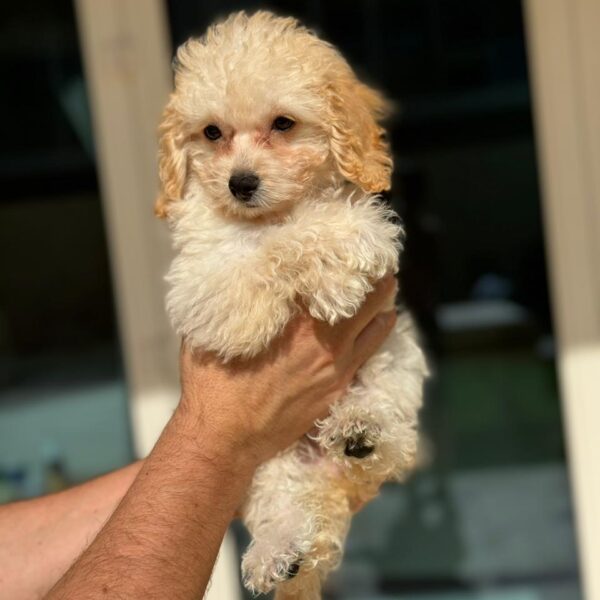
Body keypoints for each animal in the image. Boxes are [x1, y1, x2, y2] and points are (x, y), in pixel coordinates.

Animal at [155, 10, 426, 600]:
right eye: (212, 133)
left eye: (283, 124)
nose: (240, 184)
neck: (268, 212)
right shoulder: (205, 285)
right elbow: (271, 247)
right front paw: (324, 269)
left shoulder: (378, 256)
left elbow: (343, 227)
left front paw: (339, 265)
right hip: (259, 464)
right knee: (287, 505)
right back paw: (281, 554)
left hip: (393, 355)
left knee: (390, 441)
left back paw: (362, 432)